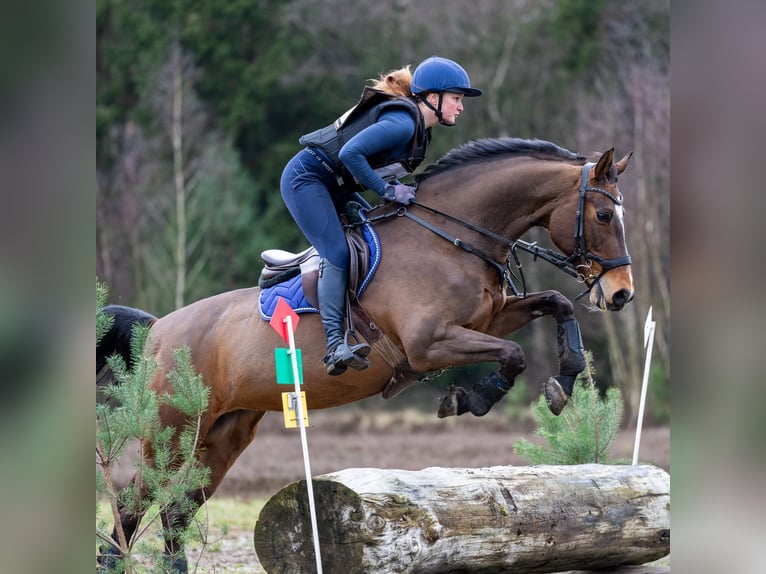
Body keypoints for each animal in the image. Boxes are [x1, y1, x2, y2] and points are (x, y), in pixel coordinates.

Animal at [96, 137, 636, 572]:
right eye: (603, 215)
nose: (621, 294)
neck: (449, 239)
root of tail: (158, 328)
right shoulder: (430, 343)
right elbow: (514, 355)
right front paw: (473, 398)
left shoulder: (489, 318)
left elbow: (557, 304)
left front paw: (564, 383)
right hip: (169, 433)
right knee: (132, 504)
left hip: (221, 438)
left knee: (175, 511)